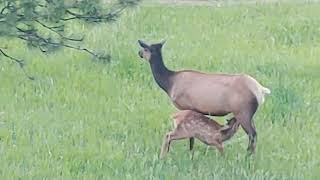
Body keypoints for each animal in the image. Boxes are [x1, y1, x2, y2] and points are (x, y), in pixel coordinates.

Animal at [138, 39, 270, 153]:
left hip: (243, 112)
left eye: (145, 48)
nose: (139, 53)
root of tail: (261, 90)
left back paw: (247, 156)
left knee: (252, 134)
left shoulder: (187, 106)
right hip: (249, 114)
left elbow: (191, 137)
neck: (169, 83)